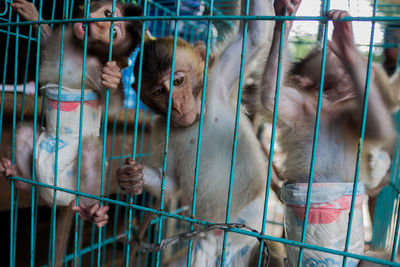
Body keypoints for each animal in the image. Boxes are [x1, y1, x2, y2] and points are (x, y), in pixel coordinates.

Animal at [0, 0, 143, 228]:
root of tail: (60, 200)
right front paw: (33, 15)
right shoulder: (63, 40)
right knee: (24, 132)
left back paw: (91, 212)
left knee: (91, 151)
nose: (98, 25)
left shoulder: (95, 68)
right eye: (107, 13)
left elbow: (111, 104)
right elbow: (47, 39)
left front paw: (113, 79)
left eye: (113, 33)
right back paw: (22, 181)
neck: (80, 48)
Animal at [115, 0, 288, 266]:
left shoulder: (218, 80)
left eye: (178, 82)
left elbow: (255, 35)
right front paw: (133, 178)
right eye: (158, 92)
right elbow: (170, 182)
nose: (177, 106)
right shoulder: (160, 128)